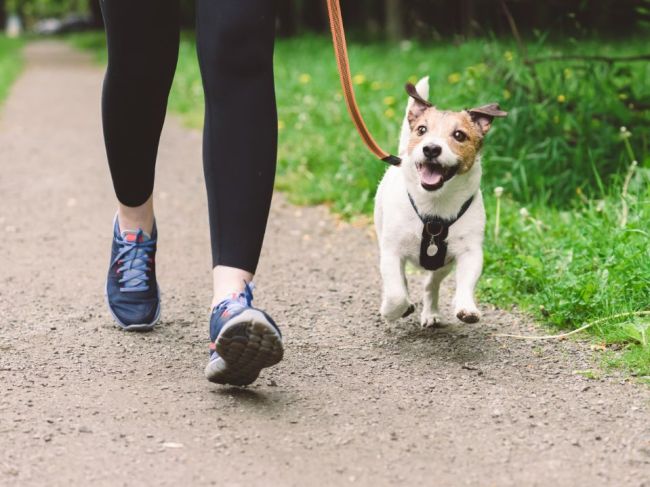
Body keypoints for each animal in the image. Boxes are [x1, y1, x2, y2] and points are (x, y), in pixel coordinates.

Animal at [372, 77, 504, 328]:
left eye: (459, 135)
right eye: (422, 130)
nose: (431, 148)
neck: (435, 206)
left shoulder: (470, 252)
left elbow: (466, 282)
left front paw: (466, 307)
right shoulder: (391, 251)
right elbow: (396, 293)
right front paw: (391, 311)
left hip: (443, 264)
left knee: (430, 284)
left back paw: (430, 312)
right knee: (402, 282)